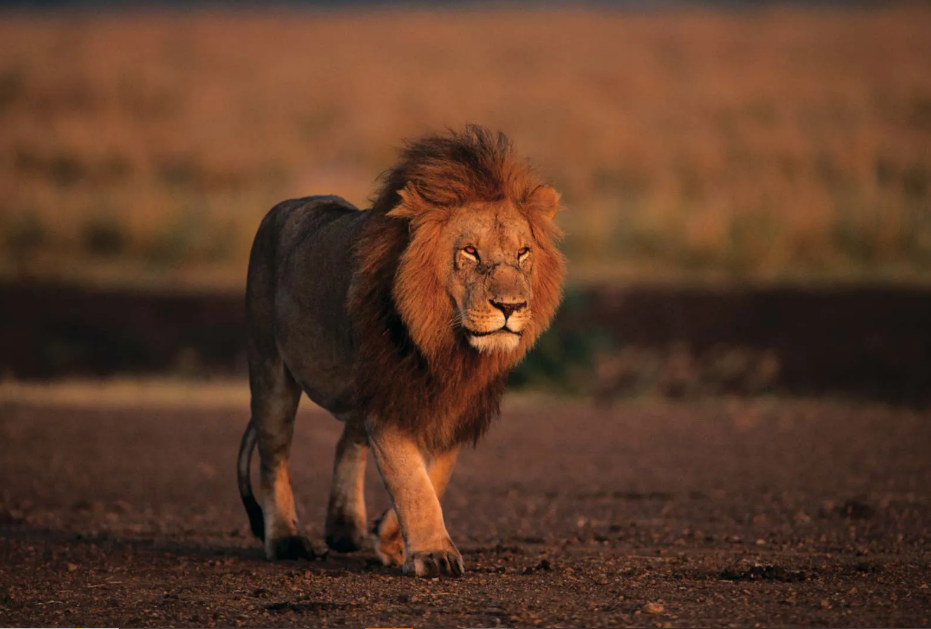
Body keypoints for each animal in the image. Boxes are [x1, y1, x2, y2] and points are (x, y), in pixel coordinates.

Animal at [237, 124, 564, 576]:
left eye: (523, 253)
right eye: (470, 251)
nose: (511, 307)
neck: (447, 345)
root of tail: (288, 205)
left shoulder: (451, 405)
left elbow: (433, 478)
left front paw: (390, 538)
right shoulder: (390, 396)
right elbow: (411, 481)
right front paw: (434, 554)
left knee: (347, 441)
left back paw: (345, 528)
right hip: (270, 369)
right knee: (274, 456)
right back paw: (286, 539)